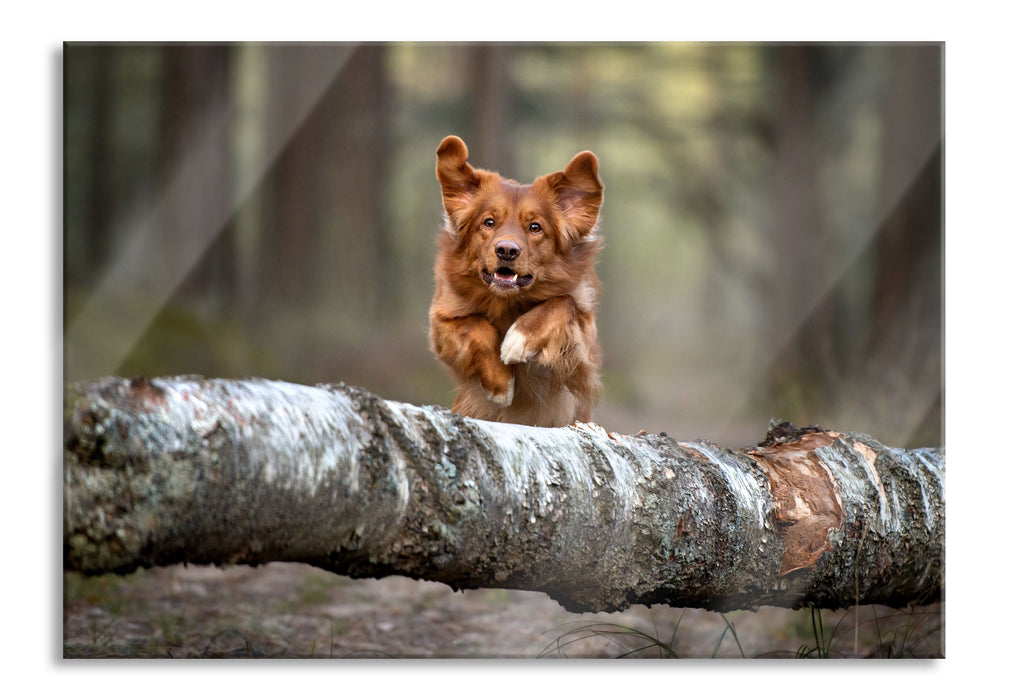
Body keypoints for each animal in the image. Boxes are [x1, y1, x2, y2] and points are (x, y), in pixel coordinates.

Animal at [427, 134, 601, 425]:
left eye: (535, 227)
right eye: (488, 222)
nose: (506, 250)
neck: (507, 302)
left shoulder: (581, 356)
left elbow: (562, 302)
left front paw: (520, 338)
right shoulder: (442, 321)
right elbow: (477, 327)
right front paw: (501, 384)